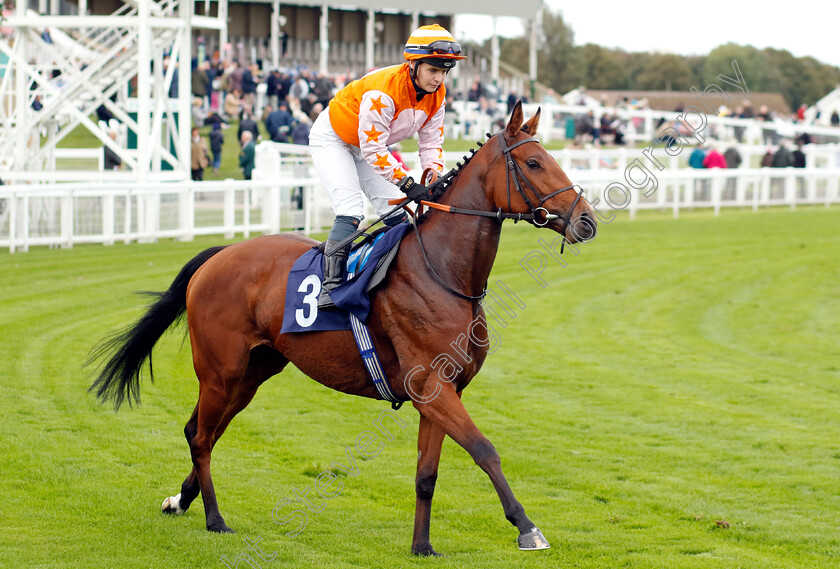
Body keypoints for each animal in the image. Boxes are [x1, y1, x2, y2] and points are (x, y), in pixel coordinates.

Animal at [90, 102, 596, 556]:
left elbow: (426, 475)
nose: (586, 220)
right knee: (200, 436)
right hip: (219, 370)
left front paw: (422, 545)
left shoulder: (441, 391)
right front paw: (527, 528)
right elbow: (485, 449)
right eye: (534, 162)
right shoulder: (432, 387)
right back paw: (215, 518)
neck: (444, 273)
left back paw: (180, 501)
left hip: (254, 372)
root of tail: (217, 256)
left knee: (203, 431)